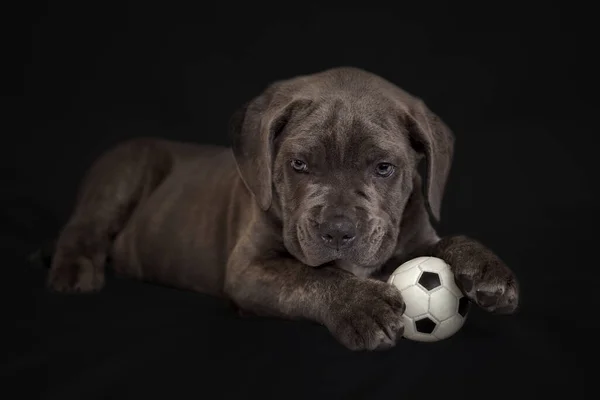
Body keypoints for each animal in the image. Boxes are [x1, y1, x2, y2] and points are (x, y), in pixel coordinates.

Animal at [47, 68, 516, 350]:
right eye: (299, 165)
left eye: (384, 168)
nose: (338, 231)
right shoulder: (250, 268)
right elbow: (309, 277)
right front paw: (360, 305)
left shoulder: (412, 239)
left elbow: (447, 243)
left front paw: (487, 269)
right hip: (126, 170)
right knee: (81, 230)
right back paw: (74, 274)